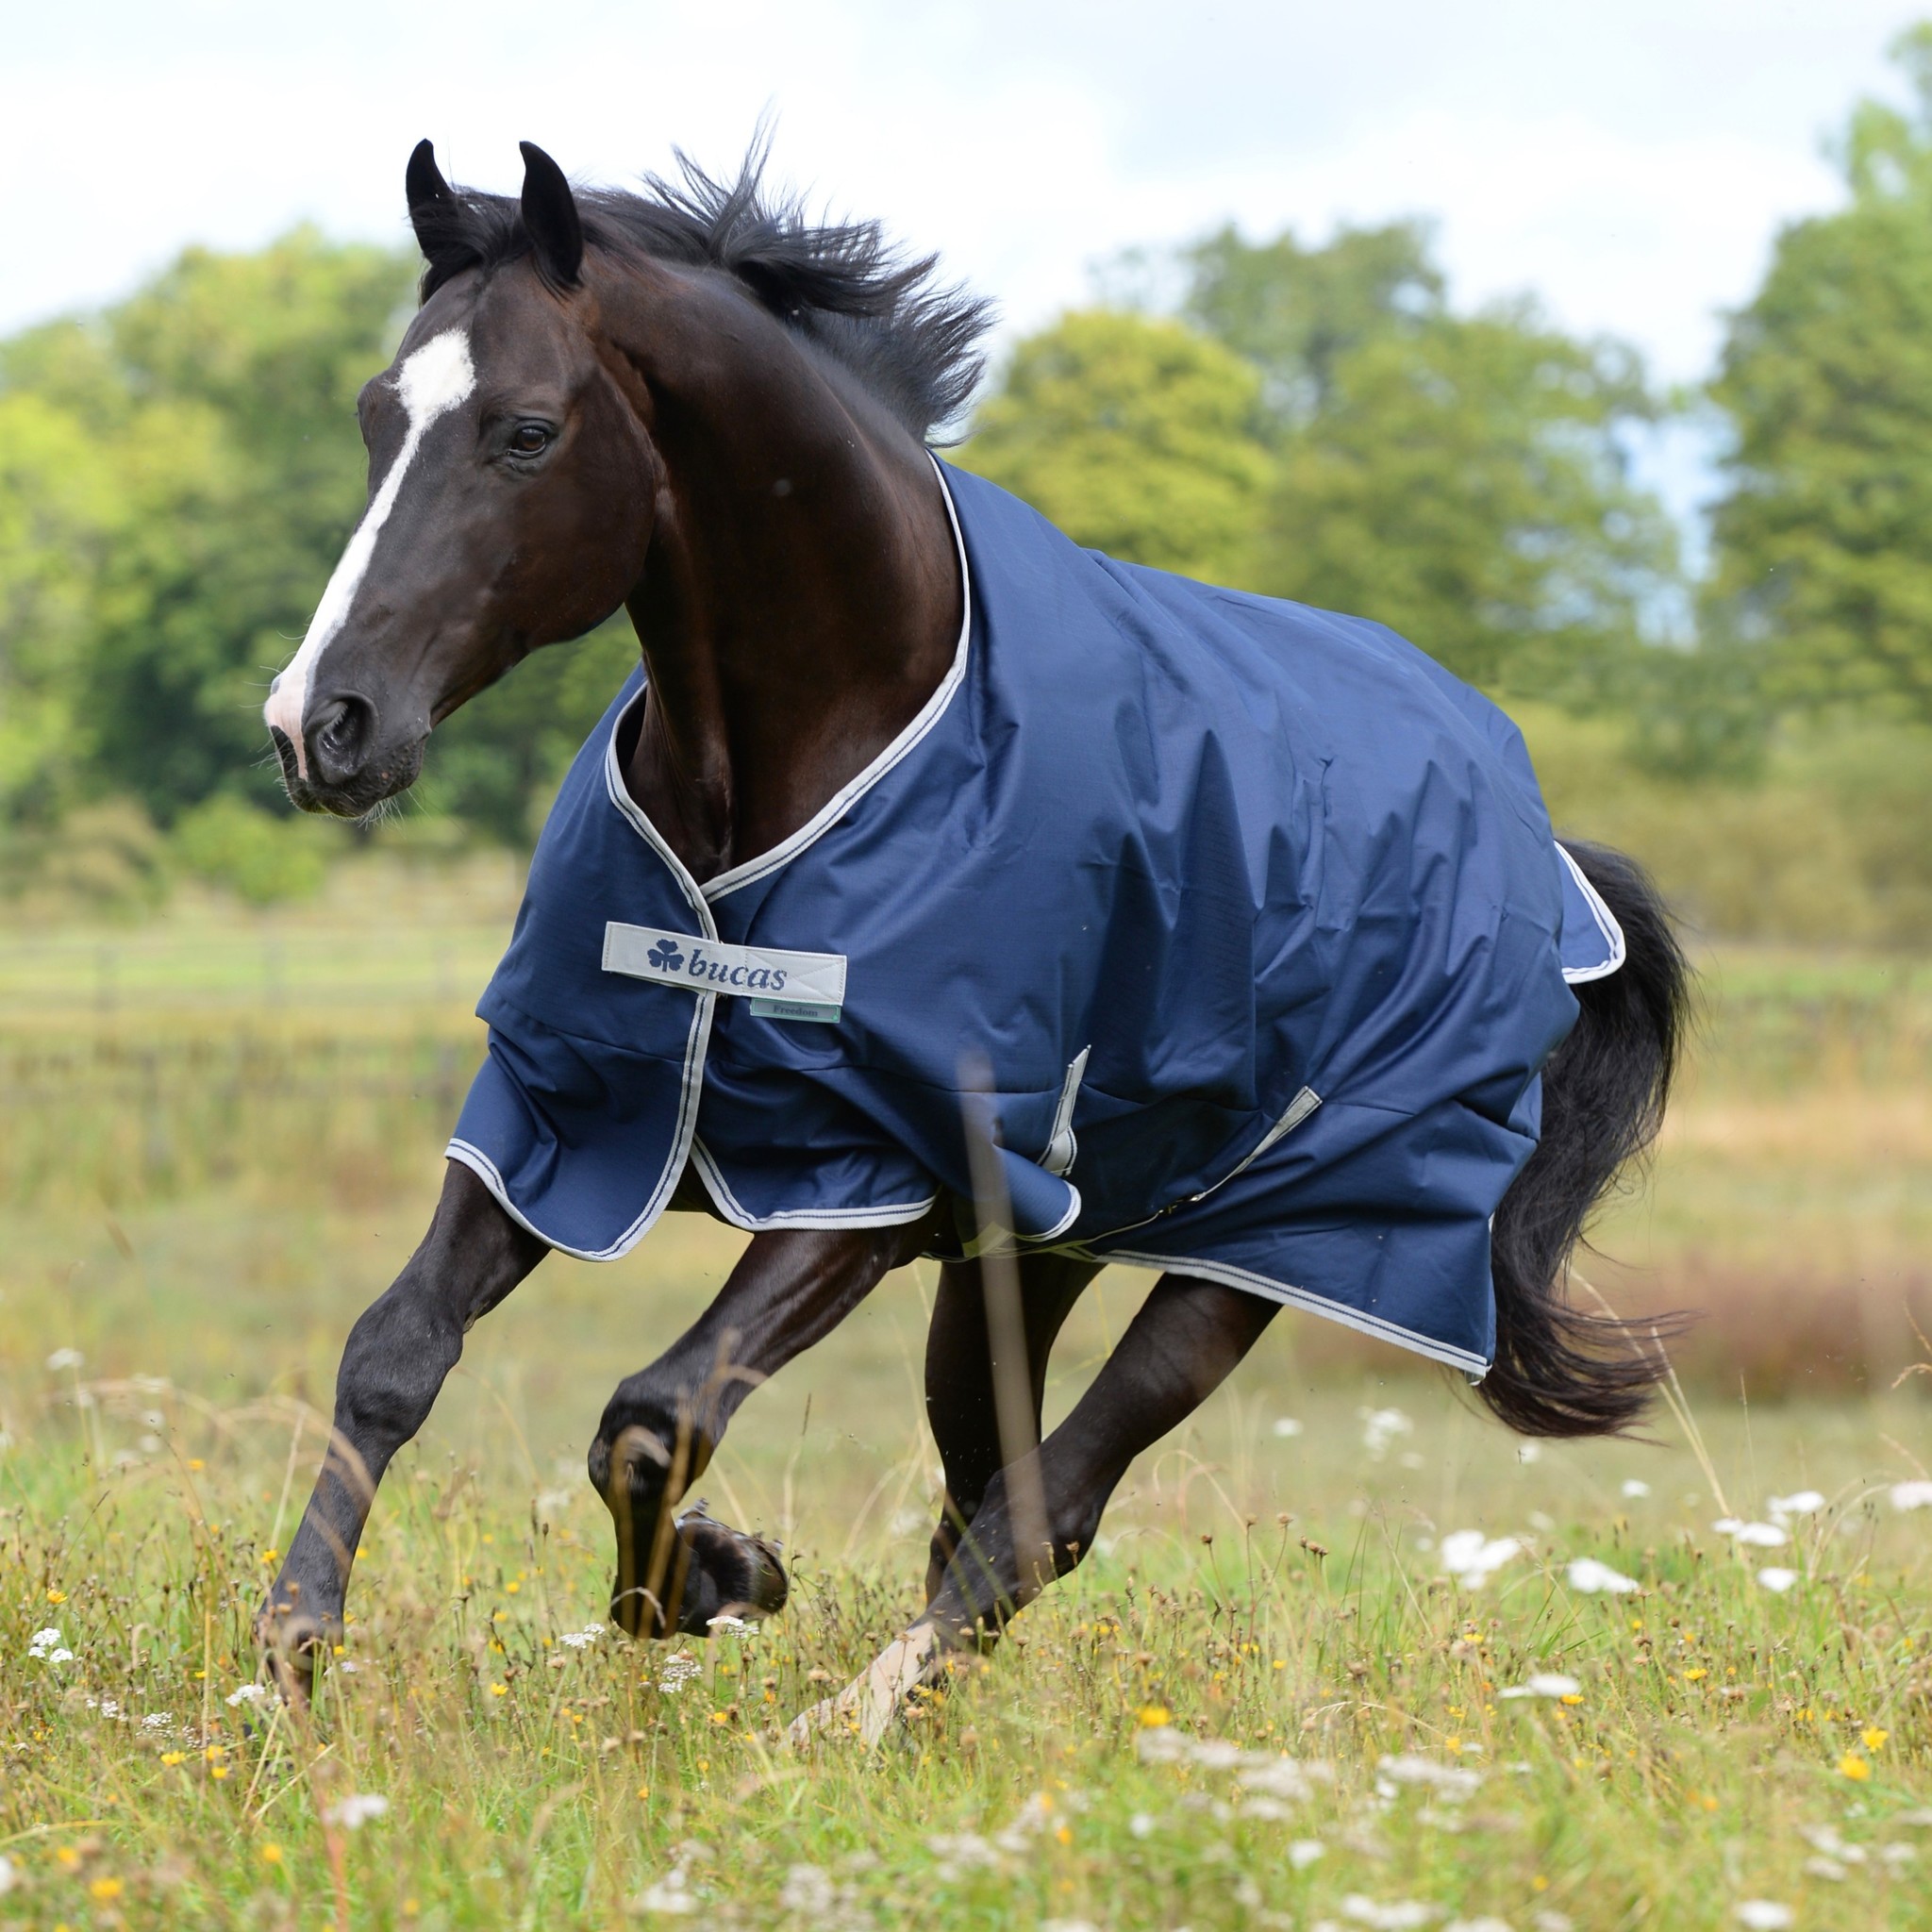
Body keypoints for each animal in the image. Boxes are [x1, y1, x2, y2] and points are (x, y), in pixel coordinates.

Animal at [258, 137, 1690, 1743]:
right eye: (378, 413)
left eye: (524, 432)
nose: (322, 724)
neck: (830, 740)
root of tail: (1544, 856)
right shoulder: (564, 1103)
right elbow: (394, 1351)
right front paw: (291, 1656)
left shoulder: (873, 1175)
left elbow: (653, 1418)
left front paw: (720, 1575)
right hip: (1036, 1253)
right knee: (987, 1489)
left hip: (1273, 1250)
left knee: (1043, 1508)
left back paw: (850, 1722)